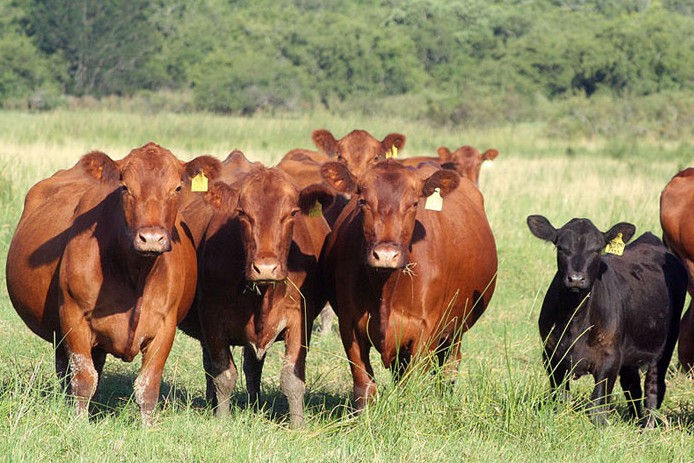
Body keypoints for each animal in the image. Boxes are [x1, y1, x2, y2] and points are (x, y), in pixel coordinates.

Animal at [5, 142, 222, 425]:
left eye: (177, 188)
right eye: (125, 187)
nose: (151, 238)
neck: (136, 276)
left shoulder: (166, 325)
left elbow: (148, 384)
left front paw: (146, 427)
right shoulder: (74, 316)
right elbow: (83, 379)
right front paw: (80, 424)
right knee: (68, 372)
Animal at [178, 156, 333, 428]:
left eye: (292, 213)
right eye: (242, 214)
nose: (266, 268)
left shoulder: (299, 318)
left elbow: (292, 378)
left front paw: (298, 425)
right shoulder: (211, 316)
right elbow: (223, 373)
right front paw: (222, 418)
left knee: (252, 367)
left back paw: (255, 404)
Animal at [319, 159, 497, 410]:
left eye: (414, 204)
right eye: (362, 201)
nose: (385, 254)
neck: (385, 287)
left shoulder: (426, 330)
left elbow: (410, 385)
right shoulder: (349, 325)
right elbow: (364, 385)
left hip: (456, 327)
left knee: (449, 365)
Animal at [526, 215, 686, 426]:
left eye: (596, 249)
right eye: (561, 248)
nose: (576, 279)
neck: (575, 320)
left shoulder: (610, 358)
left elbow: (597, 406)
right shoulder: (551, 355)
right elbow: (559, 399)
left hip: (666, 343)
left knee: (653, 387)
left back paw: (647, 426)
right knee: (632, 385)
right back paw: (636, 420)